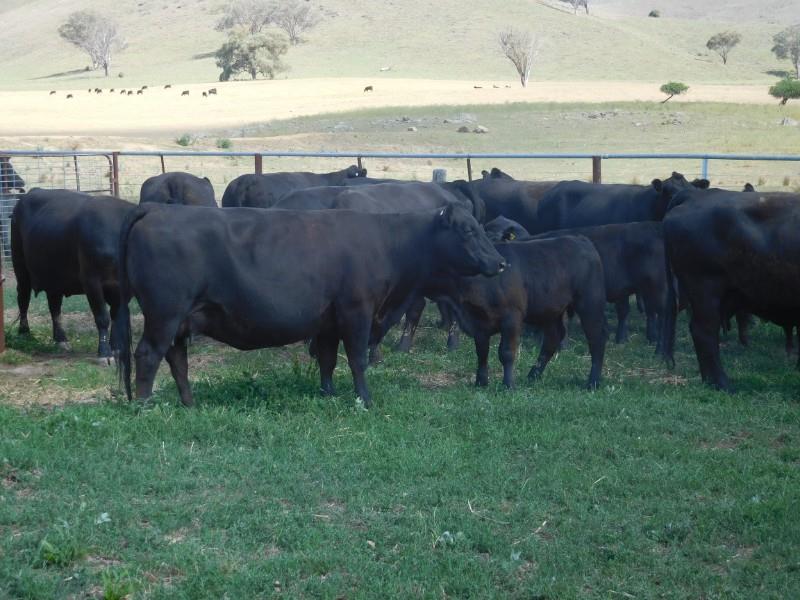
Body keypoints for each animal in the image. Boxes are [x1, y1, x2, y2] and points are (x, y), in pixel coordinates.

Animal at [10, 189, 134, 362]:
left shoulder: (123, 289)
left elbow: (118, 316)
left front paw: (116, 349)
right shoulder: (91, 281)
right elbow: (102, 317)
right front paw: (104, 353)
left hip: (55, 279)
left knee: (55, 307)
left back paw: (61, 339)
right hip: (21, 268)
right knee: (23, 299)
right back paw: (24, 333)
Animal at [113, 204, 506, 408]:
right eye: (468, 231)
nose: (501, 262)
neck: (390, 242)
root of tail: (154, 210)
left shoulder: (328, 321)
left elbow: (329, 360)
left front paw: (327, 393)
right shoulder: (357, 311)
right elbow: (358, 359)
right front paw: (365, 399)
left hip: (180, 320)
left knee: (176, 359)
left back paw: (189, 404)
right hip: (165, 314)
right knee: (148, 355)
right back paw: (143, 406)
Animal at [421, 236, 607, 389]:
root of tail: (581, 240)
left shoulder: (511, 317)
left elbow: (506, 352)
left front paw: (508, 385)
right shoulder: (479, 323)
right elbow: (482, 352)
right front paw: (481, 382)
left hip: (590, 303)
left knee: (596, 337)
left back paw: (593, 382)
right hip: (551, 310)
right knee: (553, 337)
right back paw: (533, 375)